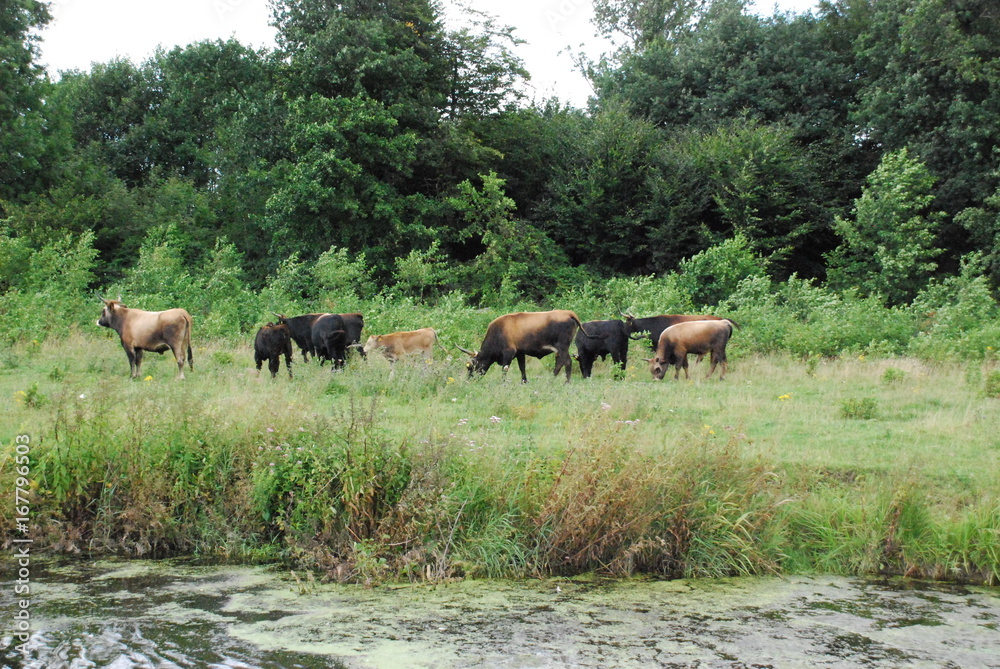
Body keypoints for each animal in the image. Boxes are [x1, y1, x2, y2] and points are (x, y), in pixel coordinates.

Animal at [460, 310, 592, 380]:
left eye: (472, 365)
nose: (470, 379)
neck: (498, 332)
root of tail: (568, 313)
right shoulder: (520, 353)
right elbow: (522, 367)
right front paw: (524, 381)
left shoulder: (509, 353)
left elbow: (504, 370)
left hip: (562, 347)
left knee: (565, 362)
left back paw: (561, 381)